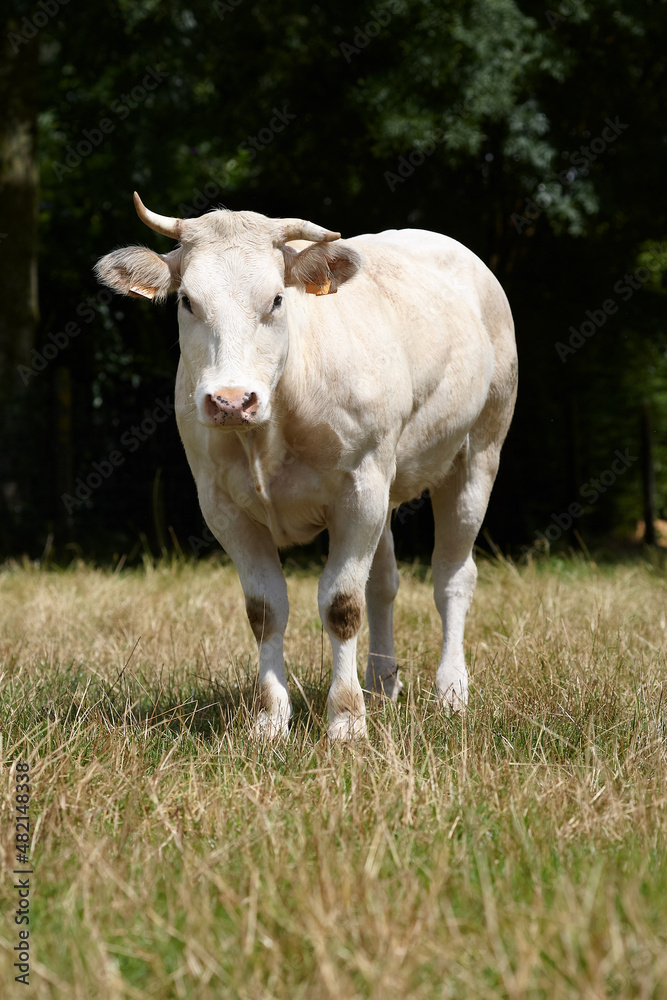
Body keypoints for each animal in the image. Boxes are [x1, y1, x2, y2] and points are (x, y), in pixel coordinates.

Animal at [98, 197, 516, 744]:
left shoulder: (359, 490)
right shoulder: (222, 505)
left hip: (477, 452)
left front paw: (346, 720)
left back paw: (450, 691)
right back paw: (381, 684)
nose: (231, 401)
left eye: (277, 299)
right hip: (389, 480)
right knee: (383, 584)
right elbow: (266, 610)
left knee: (452, 577)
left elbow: (341, 605)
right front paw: (271, 719)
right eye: (187, 301)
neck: (270, 427)